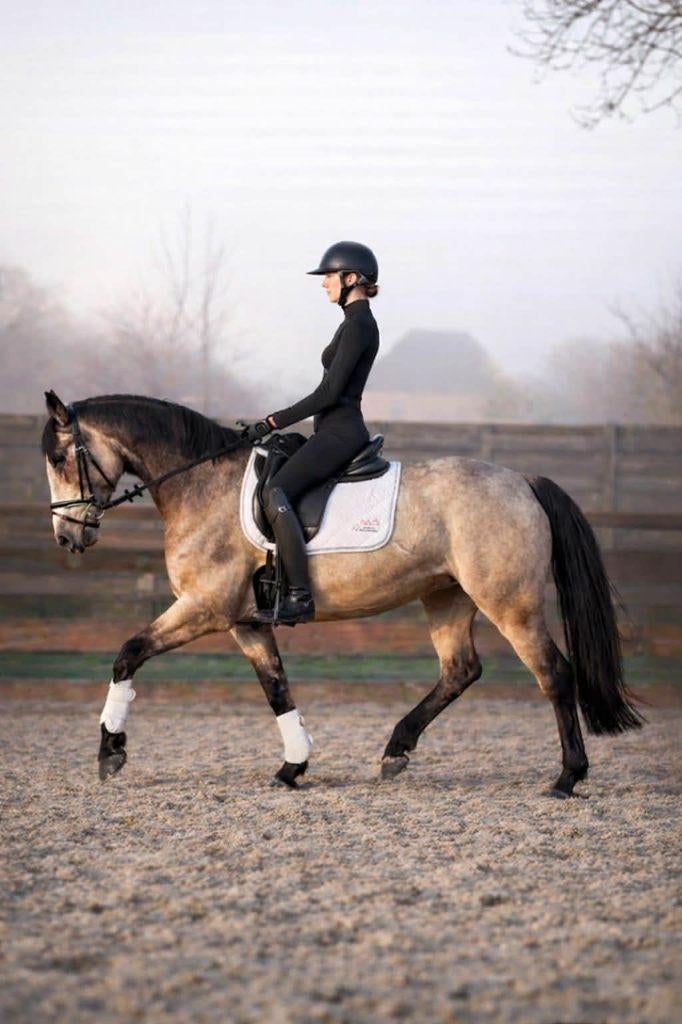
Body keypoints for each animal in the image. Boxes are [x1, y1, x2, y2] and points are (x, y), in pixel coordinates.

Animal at [41, 390, 643, 796]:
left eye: (60, 458)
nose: (68, 538)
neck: (201, 485)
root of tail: (523, 482)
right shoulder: (246, 622)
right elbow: (276, 688)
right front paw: (293, 766)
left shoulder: (202, 609)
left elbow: (128, 652)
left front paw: (110, 751)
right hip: (447, 596)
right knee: (460, 670)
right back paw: (396, 751)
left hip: (509, 604)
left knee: (554, 674)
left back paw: (567, 778)